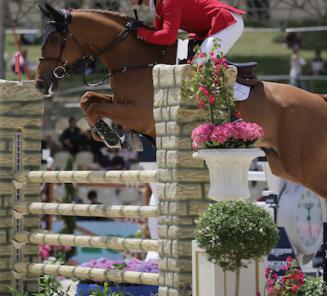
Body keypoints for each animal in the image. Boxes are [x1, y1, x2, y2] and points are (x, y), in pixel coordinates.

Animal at [35, 3, 327, 199]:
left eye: (54, 38)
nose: (40, 82)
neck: (137, 61)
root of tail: (318, 99)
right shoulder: (122, 102)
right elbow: (88, 99)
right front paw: (109, 134)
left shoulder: (140, 114)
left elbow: (94, 104)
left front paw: (109, 135)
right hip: (282, 165)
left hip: (305, 166)